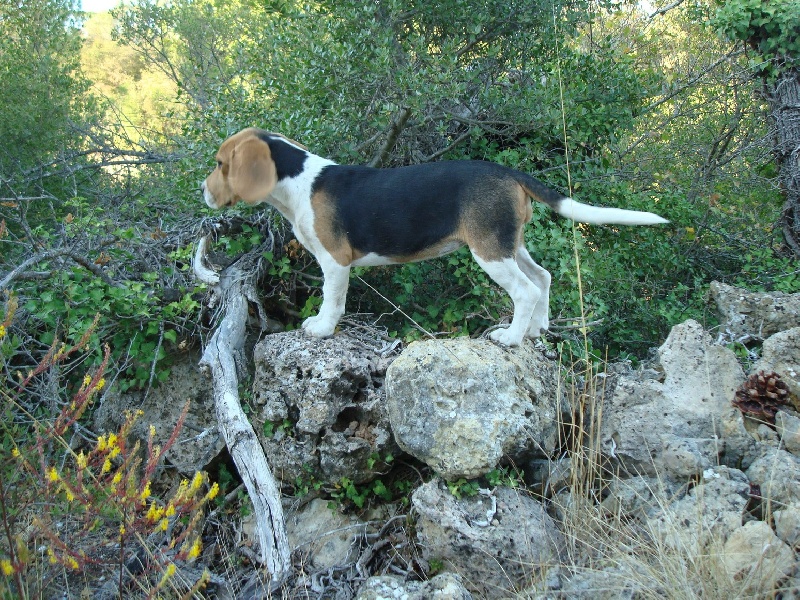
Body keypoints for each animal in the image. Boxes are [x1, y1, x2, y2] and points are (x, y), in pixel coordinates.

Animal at [202, 130, 668, 346]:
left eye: (221, 163)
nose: (202, 191)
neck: (296, 180)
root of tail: (507, 171)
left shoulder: (334, 262)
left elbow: (331, 300)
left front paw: (321, 328)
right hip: (509, 243)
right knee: (544, 277)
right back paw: (537, 329)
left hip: (489, 251)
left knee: (526, 290)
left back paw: (511, 337)